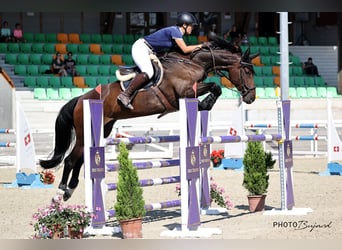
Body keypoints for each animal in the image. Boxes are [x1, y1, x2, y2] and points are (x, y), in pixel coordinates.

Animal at [39, 37, 256, 201]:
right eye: (246, 71)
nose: (251, 98)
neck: (192, 63)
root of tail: (81, 98)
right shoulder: (183, 92)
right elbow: (215, 87)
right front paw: (205, 104)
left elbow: (214, 88)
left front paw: (204, 105)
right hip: (85, 132)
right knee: (70, 160)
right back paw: (60, 192)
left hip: (102, 129)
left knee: (81, 159)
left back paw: (70, 189)